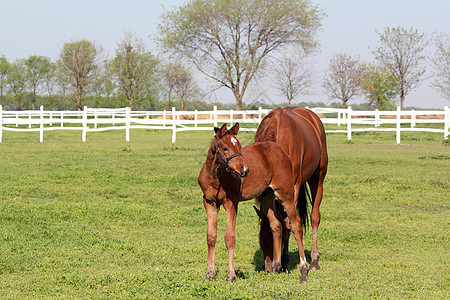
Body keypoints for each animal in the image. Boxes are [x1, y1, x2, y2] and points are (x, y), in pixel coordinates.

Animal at [200, 122, 308, 282]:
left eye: (239, 146)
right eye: (225, 148)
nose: (244, 170)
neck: (215, 177)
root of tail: (281, 150)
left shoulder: (231, 203)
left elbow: (230, 238)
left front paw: (231, 275)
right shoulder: (209, 203)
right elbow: (211, 237)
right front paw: (210, 273)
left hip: (285, 194)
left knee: (296, 225)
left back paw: (304, 270)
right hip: (267, 196)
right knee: (276, 225)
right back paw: (276, 266)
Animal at [253, 107, 326, 282]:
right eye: (261, 240)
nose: (267, 269)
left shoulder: (293, 187)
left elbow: (290, 223)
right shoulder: (268, 191)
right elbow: (280, 222)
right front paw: (282, 262)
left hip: (318, 178)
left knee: (315, 217)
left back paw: (314, 260)